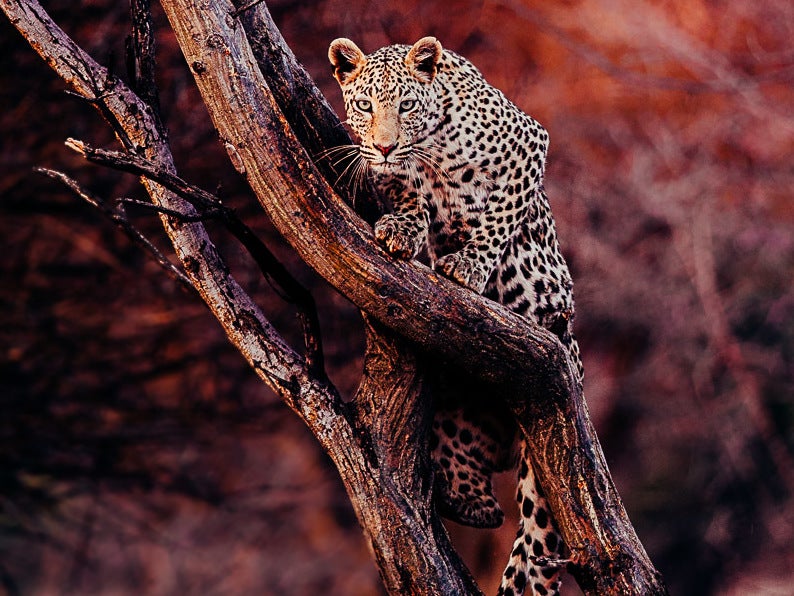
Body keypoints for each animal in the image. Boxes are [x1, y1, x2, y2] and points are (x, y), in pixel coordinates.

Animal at [328, 36, 580, 596]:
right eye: (364, 106)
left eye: (406, 105)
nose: (383, 145)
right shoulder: (393, 174)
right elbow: (408, 193)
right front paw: (403, 228)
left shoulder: (529, 145)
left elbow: (500, 213)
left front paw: (469, 264)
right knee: (480, 504)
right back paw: (463, 498)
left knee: (535, 527)